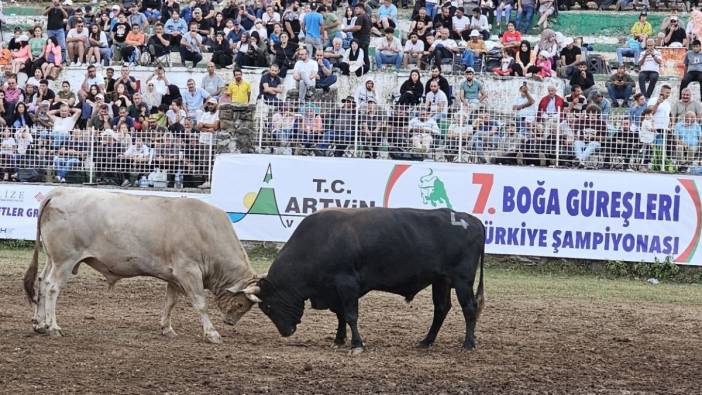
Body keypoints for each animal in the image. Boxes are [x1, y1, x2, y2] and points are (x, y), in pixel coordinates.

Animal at [24, 189, 264, 344]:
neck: (205, 228)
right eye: (241, 304)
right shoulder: (188, 271)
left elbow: (170, 302)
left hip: (52, 259)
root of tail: (59, 193)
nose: (230, 322)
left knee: (42, 283)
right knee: (52, 288)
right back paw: (53, 327)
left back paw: (39, 324)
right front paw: (212, 333)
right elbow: (200, 304)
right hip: (65, 261)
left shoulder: (174, 276)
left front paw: (167, 328)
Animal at [256, 207, 486, 352]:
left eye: (267, 306)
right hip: (441, 280)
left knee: (469, 308)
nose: (286, 332)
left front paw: (357, 344)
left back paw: (468, 344)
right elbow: (340, 315)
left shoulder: (346, 283)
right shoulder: (334, 290)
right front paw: (339, 339)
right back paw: (426, 341)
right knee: (441, 309)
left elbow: (350, 315)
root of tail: (471, 220)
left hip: (462, 280)